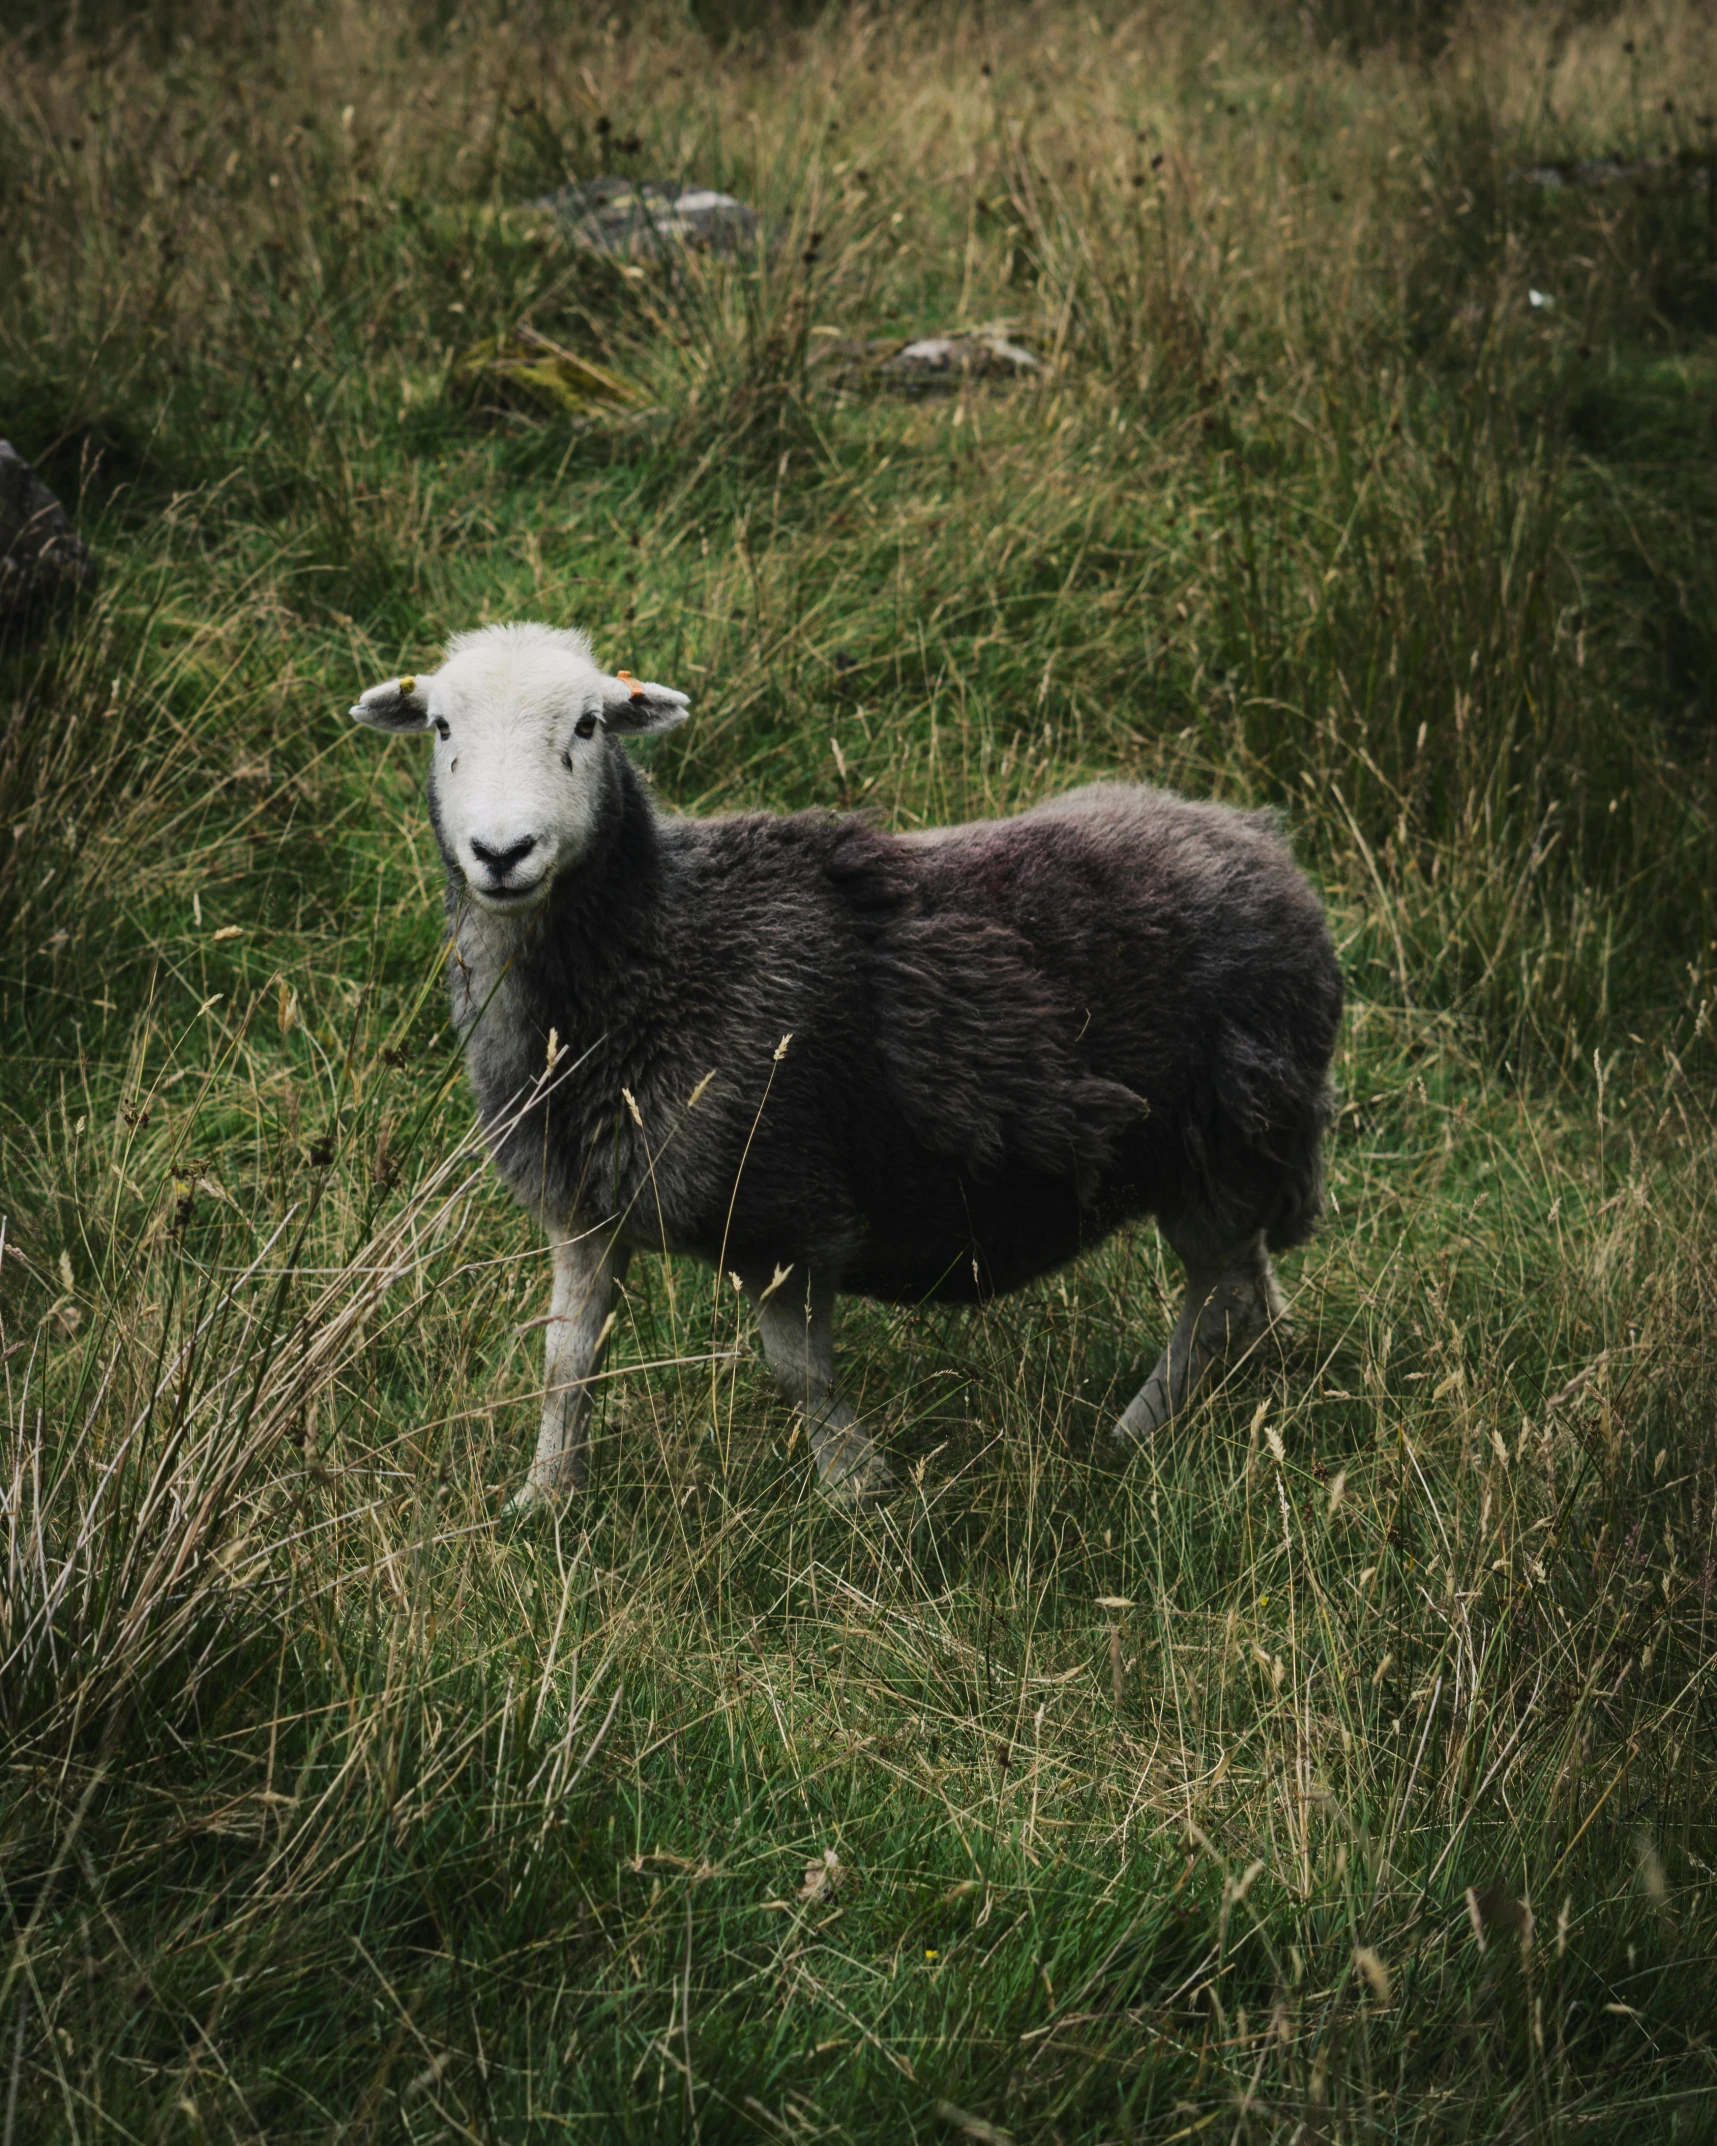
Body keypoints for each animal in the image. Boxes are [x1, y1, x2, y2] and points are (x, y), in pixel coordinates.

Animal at [347, 626, 1339, 1510]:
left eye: (589, 725)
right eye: (440, 727)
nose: (501, 853)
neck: (657, 955)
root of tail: (1254, 835)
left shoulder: (780, 1207)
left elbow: (796, 1373)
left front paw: (856, 1494)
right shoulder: (586, 1201)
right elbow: (565, 1361)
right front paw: (543, 1501)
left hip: (1225, 1137)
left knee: (1215, 1300)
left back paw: (1132, 1434)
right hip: (1229, 1149)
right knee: (1245, 1284)